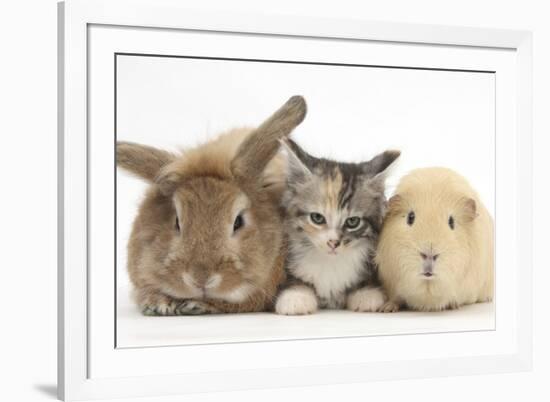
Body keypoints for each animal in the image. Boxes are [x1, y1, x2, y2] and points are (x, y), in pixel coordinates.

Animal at [276, 140, 402, 316]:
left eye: (353, 221)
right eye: (317, 218)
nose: (333, 243)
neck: (330, 262)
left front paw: (366, 295)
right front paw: (296, 298)